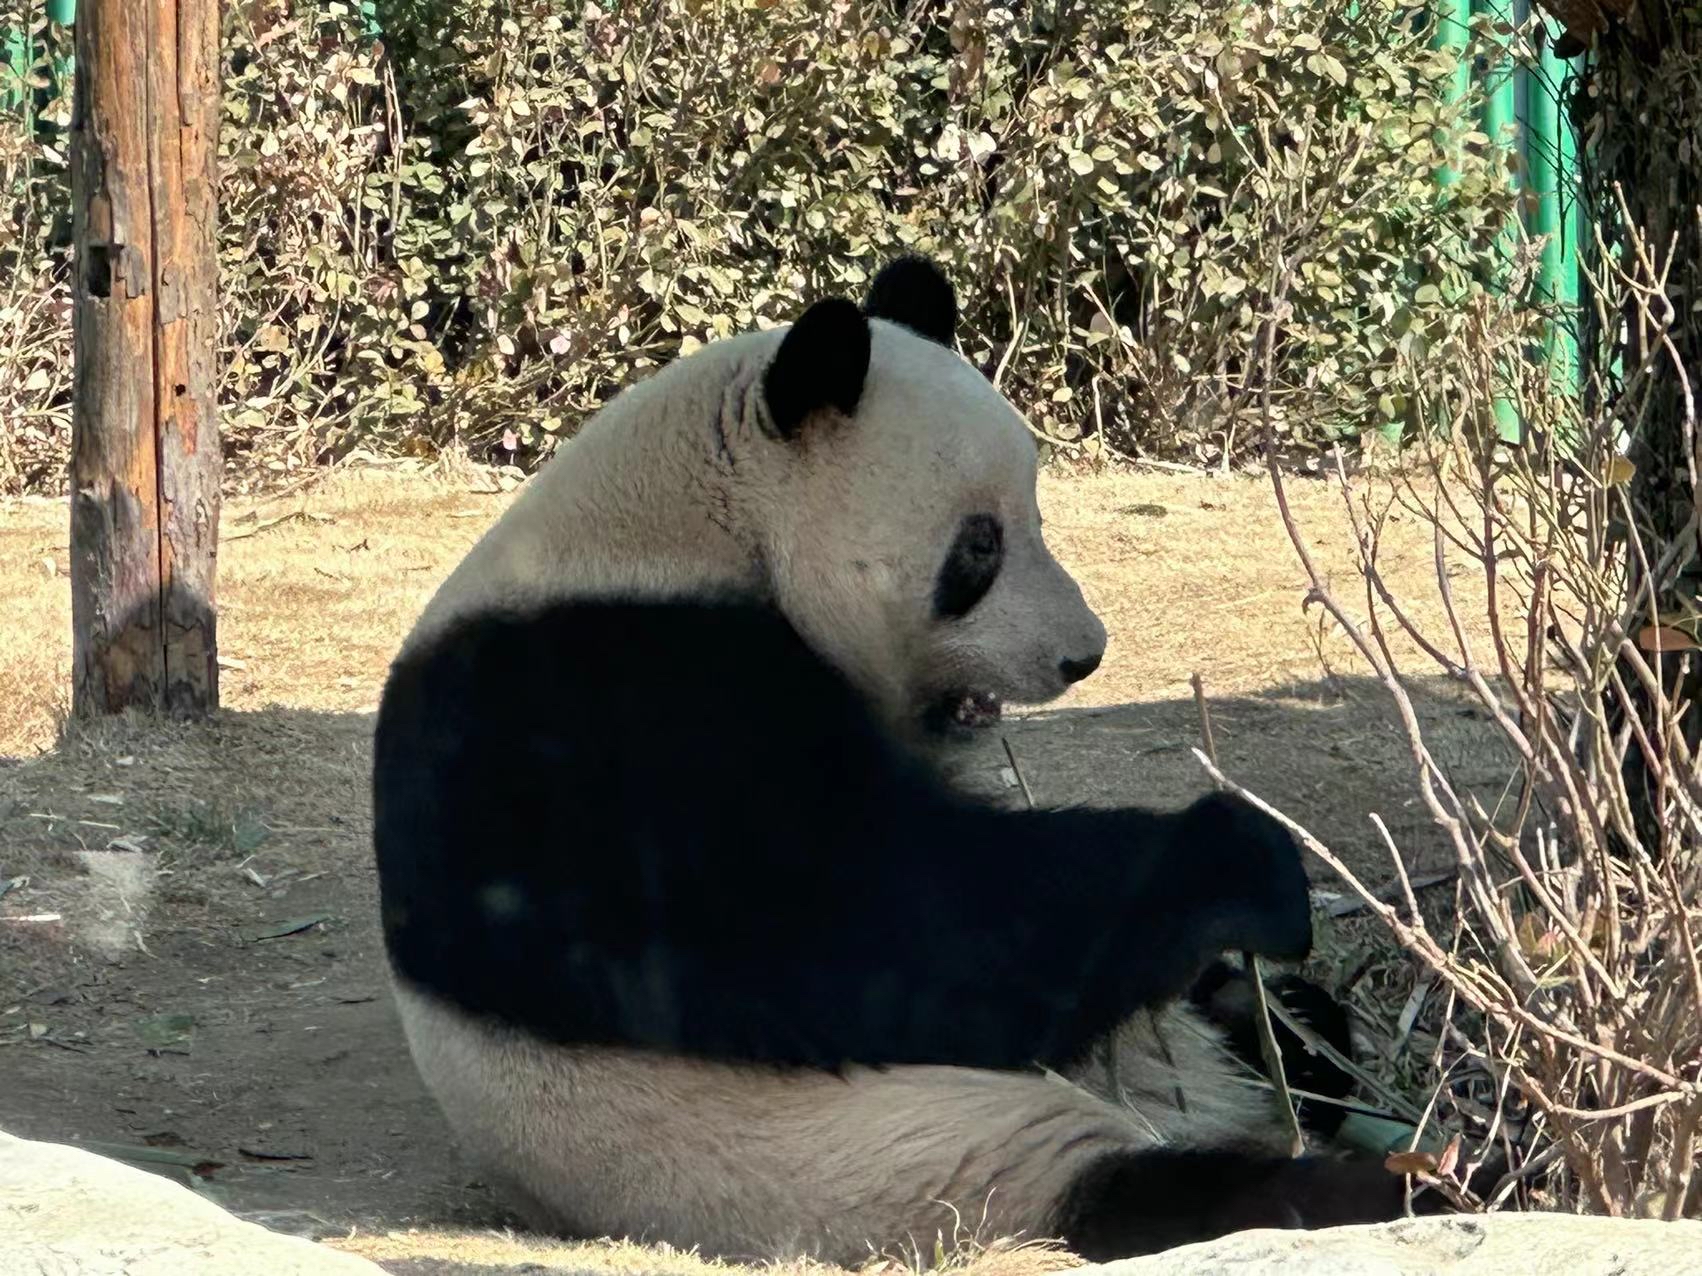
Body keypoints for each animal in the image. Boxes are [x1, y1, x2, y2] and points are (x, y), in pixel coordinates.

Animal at [379, 255, 1416, 1265]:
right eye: (979, 547)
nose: (1083, 654)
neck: (697, 522)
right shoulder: (601, 709)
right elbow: (868, 922)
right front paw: (1242, 859)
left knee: (1264, 1034)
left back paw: (1289, 1037)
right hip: (931, 1158)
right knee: (1216, 1194)